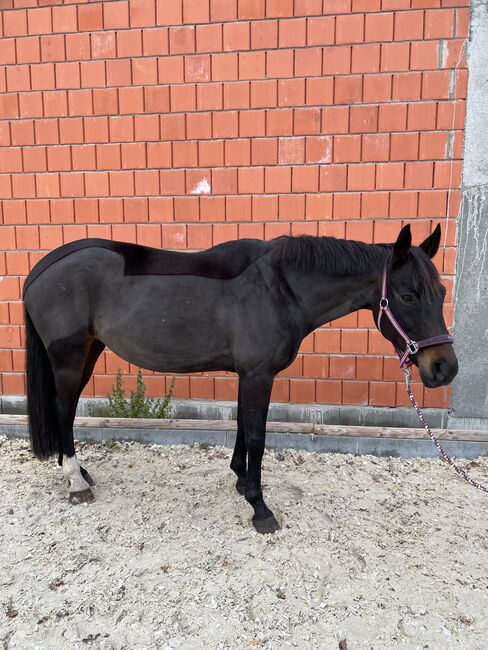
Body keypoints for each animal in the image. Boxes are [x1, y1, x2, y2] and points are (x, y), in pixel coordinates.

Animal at [22, 224, 458, 532]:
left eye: (440, 293)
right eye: (407, 295)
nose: (444, 367)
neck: (279, 287)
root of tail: (42, 269)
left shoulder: (247, 373)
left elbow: (241, 428)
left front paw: (240, 479)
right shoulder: (258, 375)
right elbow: (257, 438)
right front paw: (259, 507)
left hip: (89, 352)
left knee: (66, 409)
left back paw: (80, 472)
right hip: (69, 357)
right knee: (63, 409)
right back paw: (76, 483)